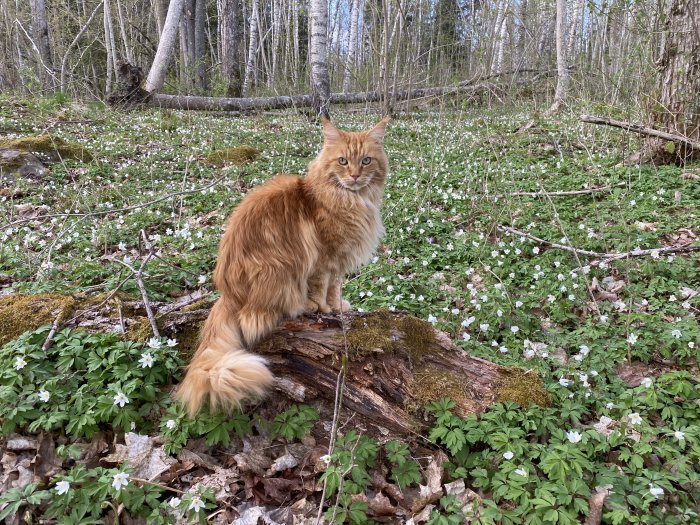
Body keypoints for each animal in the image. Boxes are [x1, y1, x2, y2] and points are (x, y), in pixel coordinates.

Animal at [178, 116, 392, 416]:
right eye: (342, 161)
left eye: (366, 161)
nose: (354, 176)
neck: (352, 200)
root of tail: (228, 293)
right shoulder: (324, 258)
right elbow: (322, 287)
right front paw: (324, 309)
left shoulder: (338, 261)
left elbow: (336, 287)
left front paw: (338, 307)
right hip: (280, 269)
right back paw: (305, 306)